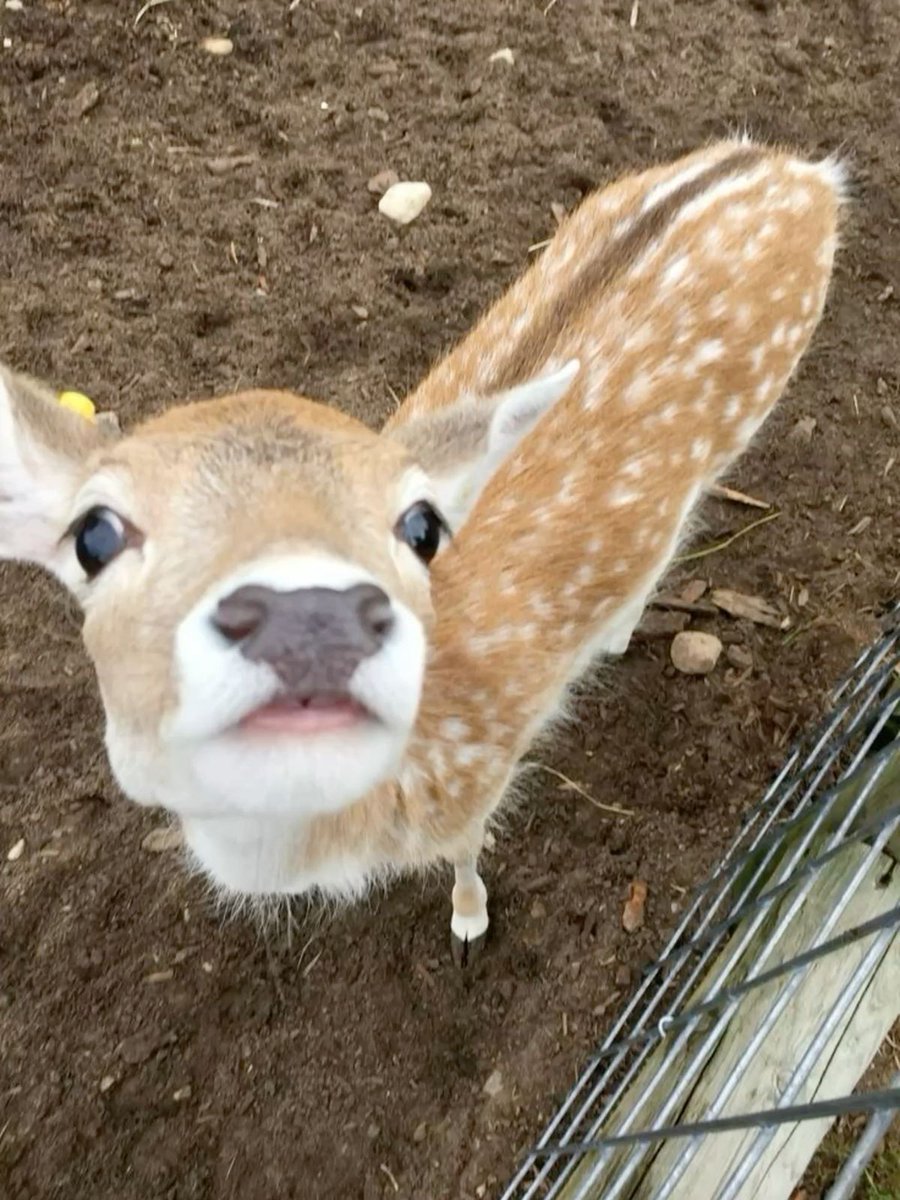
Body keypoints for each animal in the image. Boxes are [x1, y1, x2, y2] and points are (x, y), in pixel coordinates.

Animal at [0, 138, 844, 965]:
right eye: (94, 535)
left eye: (421, 526)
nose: (304, 617)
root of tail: (799, 168)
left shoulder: (480, 776)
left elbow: (468, 852)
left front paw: (470, 924)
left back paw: (616, 631)